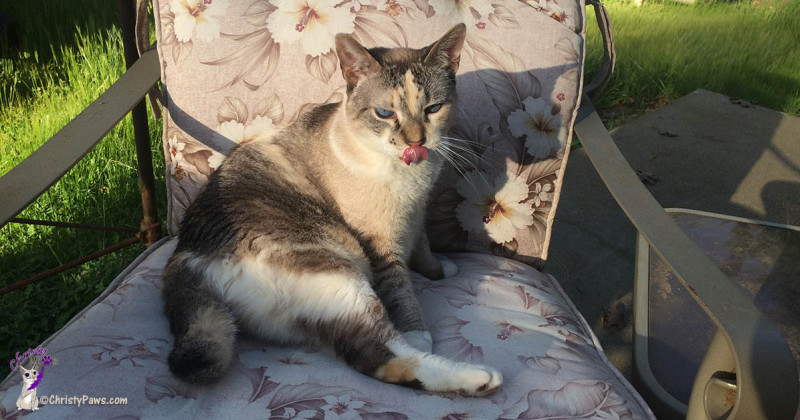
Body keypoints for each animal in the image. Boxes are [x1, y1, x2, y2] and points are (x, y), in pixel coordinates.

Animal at [161, 23, 500, 398]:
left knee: (365, 355)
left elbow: (423, 245)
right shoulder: (381, 244)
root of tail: (184, 264)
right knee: (385, 351)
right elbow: (401, 289)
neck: (412, 177)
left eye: (433, 108)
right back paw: (481, 378)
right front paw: (419, 329)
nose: (416, 142)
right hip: (341, 271)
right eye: (385, 114)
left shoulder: (416, 213)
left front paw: (440, 270)